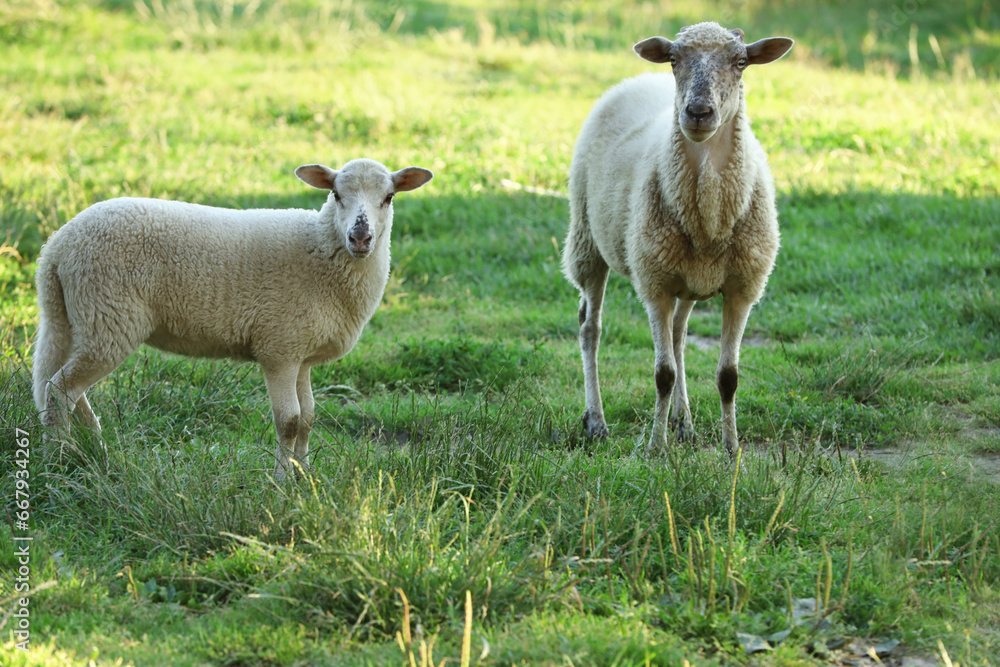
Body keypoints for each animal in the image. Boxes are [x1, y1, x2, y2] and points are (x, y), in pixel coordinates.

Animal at [32, 157, 433, 479]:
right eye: (335, 194)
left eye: (389, 197)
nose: (360, 237)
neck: (320, 248)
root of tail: (56, 247)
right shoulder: (279, 349)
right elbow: (289, 421)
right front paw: (281, 481)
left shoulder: (301, 352)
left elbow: (308, 417)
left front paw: (305, 474)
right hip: (107, 316)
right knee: (60, 390)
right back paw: (60, 459)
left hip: (75, 318)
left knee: (66, 389)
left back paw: (96, 453)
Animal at [562, 22, 793, 455]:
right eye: (673, 58)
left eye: (741, 61)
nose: (698, 113)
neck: (708, 217)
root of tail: (637, 80)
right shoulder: (654, 283)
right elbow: (663, 374)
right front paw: (655, 449)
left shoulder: (742, 288)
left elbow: (728, 377)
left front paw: (732, 451)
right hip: (587, 240)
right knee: (590, 328)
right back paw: (596, 420)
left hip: (687, 278)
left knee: (679, 335)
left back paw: (683, 422)